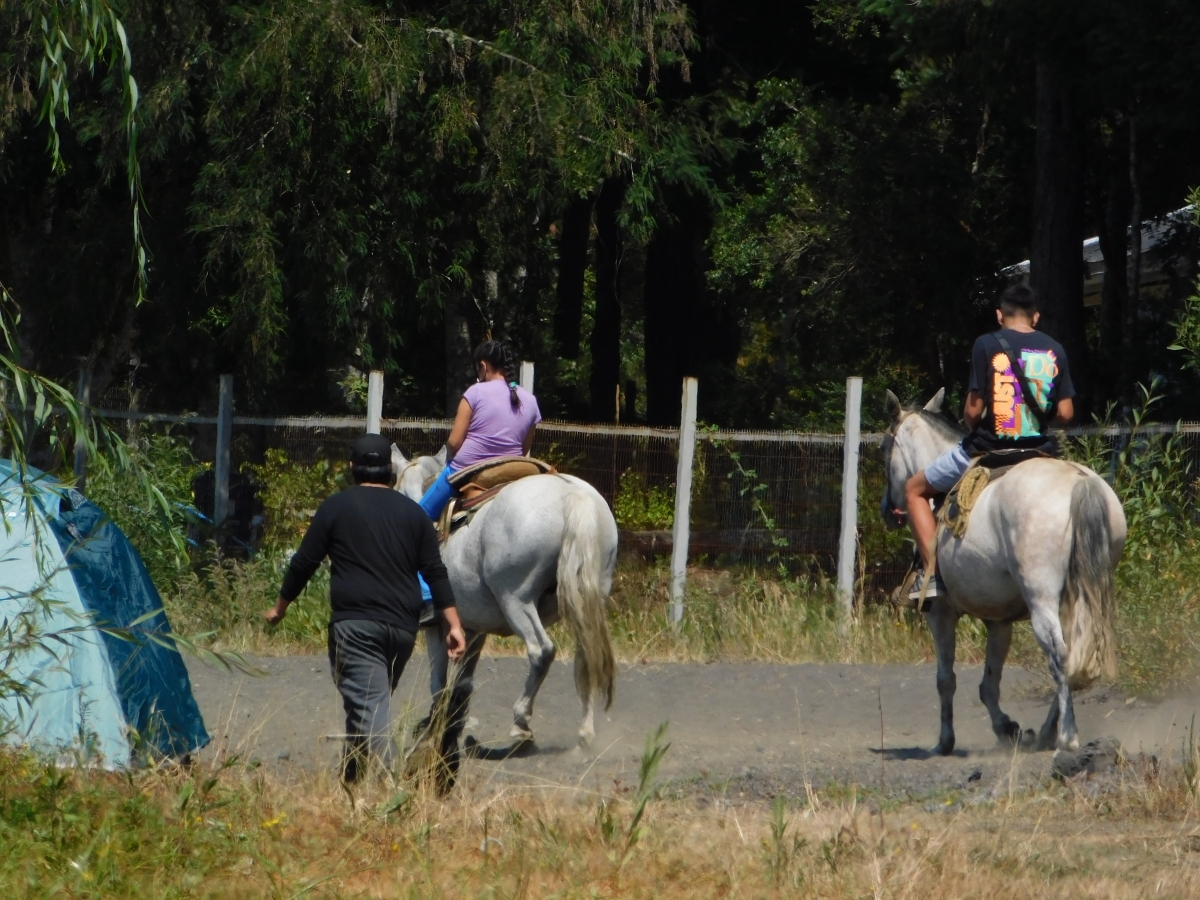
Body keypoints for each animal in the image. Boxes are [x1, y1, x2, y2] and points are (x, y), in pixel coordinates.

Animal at [393, 446, 619, 753]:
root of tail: (572, 496)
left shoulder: (438, 627)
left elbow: (438, 680)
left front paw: (433, 728)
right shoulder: (473, 629)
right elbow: (463, 682)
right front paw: (451, 723)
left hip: (516, 599)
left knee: (541, 651)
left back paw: (521, 722)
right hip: (589, 597)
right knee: (587, 657)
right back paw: (585, 733)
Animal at [883, 391, 1123, 758]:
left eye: (885, 450)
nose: (888, 510)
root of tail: (1079, 485)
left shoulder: (940, 613)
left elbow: (946, 679)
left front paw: (945, 741)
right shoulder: (999, 621)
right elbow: (989, 683)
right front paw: (1006, 728)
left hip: (1041, 597)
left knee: (1059, 655)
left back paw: (1066, 736)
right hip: (1082, 593)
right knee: (1072, 655)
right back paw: (1046, 733)